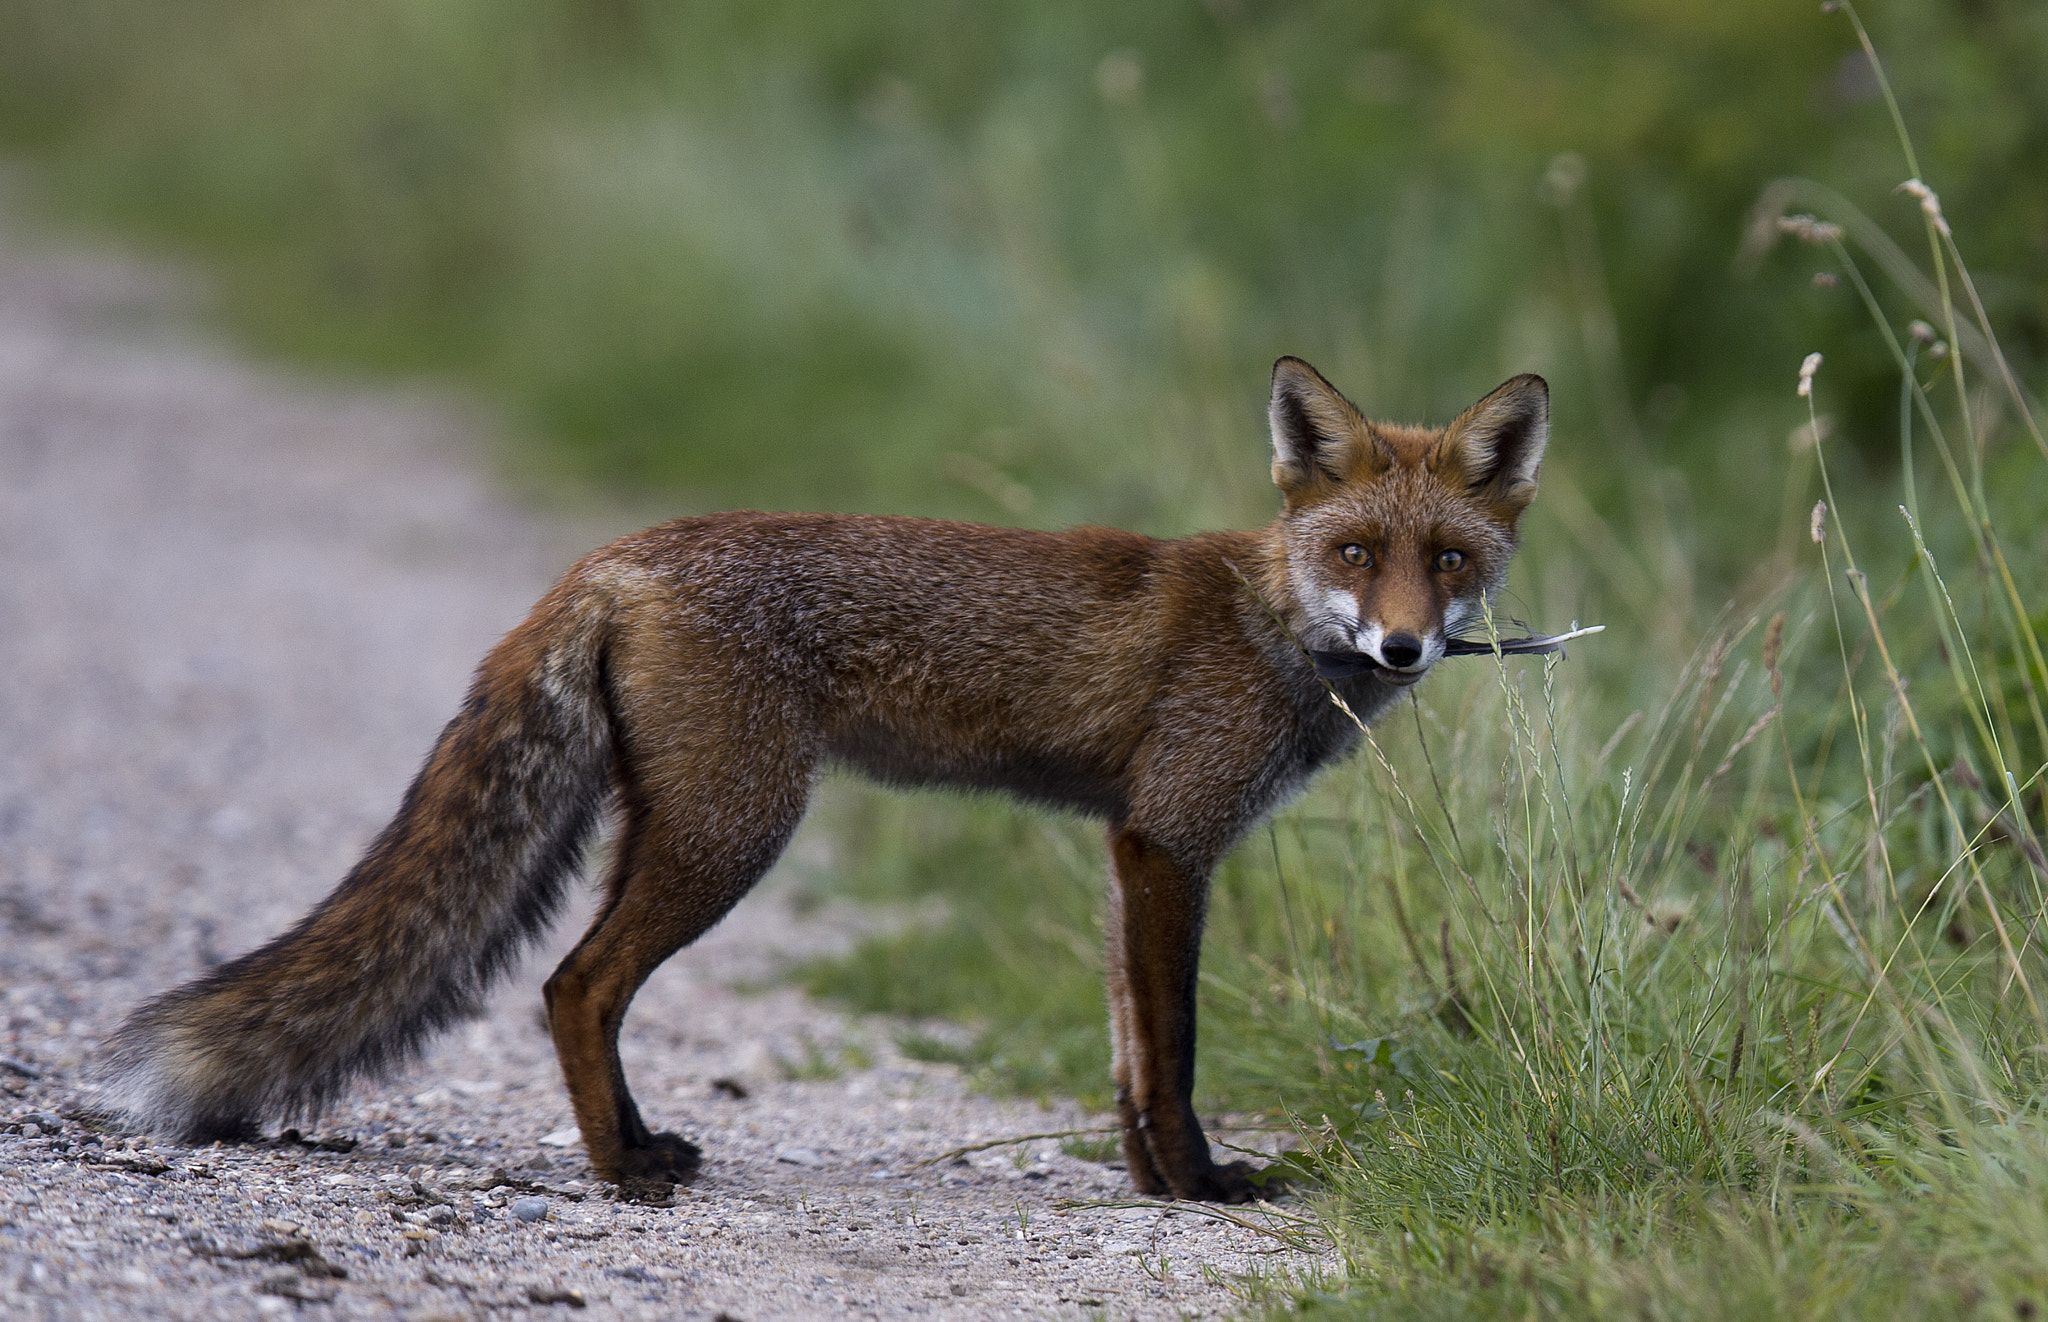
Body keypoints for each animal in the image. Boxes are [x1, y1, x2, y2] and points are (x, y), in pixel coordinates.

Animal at [104, 357, 1547, 1204]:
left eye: (1448, 559)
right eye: (1356, 551)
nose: (1406, 644)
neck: (1266, 625)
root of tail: (616, 556)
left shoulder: (1124, 845)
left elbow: (1128, 1047)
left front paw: (1148, 1179)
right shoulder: (1170, 840)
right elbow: (1175, 1048)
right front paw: (1198, 1184)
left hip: (674, 822)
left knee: (585, 987)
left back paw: (646, 1143)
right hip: (737, 830)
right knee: (576, 983)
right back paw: (622, 1169)